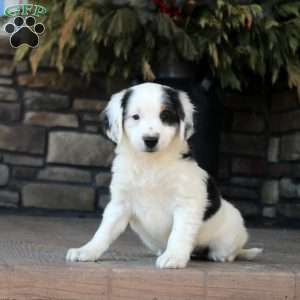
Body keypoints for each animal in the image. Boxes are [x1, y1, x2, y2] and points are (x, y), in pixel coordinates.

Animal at [66, 82, 262, 270]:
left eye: (165, 115)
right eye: (135, 117)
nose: (150, 140)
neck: (150, 164)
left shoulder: (186, 203)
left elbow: (179, 233)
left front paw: (174, 257)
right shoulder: (120, 203)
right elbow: (104, 231)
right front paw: (87, 250)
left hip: (231, 230)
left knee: (229, 250)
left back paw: (221, 255)